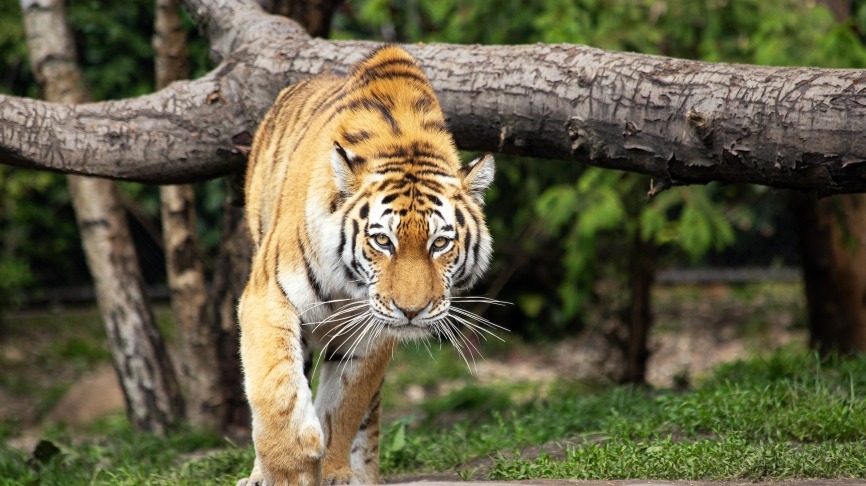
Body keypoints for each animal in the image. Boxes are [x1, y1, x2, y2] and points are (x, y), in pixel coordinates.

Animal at [236, 45, 496, 486]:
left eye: (440, 243)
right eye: (382, 241)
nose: (412, 311)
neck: (349, 285)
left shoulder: (372, 331)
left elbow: (344, 405)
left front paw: (335, 472)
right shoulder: (268, 296)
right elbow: (276, 388)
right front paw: (288, 467)